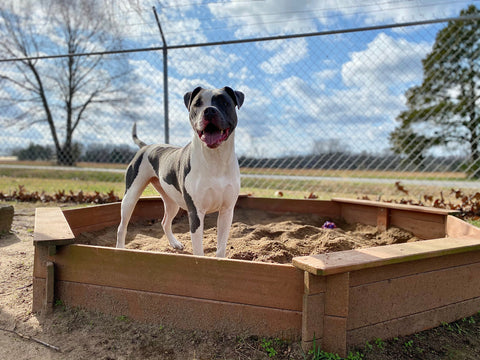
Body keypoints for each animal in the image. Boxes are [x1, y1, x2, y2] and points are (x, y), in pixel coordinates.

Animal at [116, 86, 244, 258]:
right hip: (130, 197)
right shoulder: (196, 213)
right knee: (122, 226)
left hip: (172, 202)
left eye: (224, 102)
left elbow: (221, 247)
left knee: (165, 222)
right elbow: (199, 251)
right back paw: (119, 249)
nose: (209, 110)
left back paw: (174, 244)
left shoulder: (227, 211)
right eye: (197, 104)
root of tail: (146, 146)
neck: (215, 159)